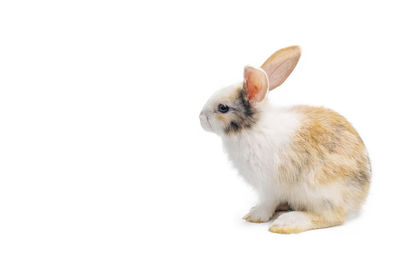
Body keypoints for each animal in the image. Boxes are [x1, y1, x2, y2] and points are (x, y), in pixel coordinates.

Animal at [198, 46, 370, 234]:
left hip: (319, 190)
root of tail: (361, 195)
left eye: (223, 108)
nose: (200, 117)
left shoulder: (268, 186)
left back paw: (286, 223)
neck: (254, 127)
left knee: (333, 216)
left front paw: (255, 216)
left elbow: (267, 202)